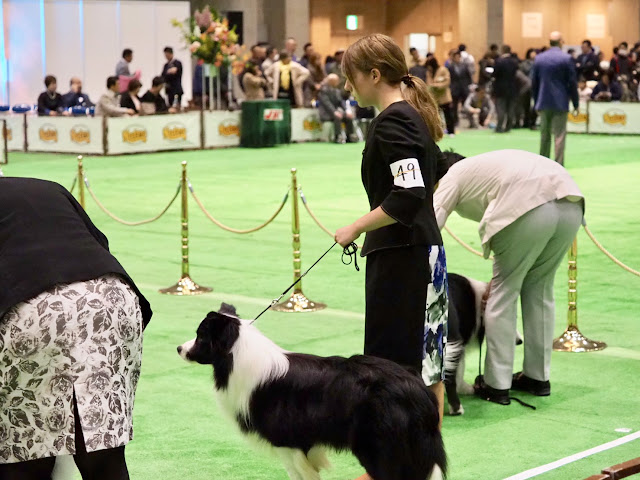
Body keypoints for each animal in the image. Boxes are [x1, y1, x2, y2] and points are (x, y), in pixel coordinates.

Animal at [178, 303, 447, 480]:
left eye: (200, 336)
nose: (179, 348)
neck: (237, 356)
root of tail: (417, 388)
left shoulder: (288, 443)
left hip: (381, 447)